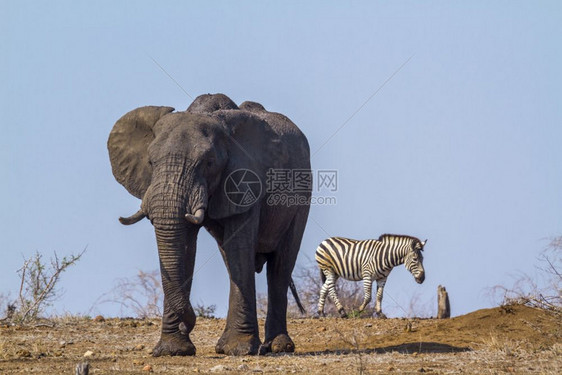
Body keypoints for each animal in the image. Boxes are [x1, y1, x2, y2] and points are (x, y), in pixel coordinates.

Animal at [106, 92, 310, 356]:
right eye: (150, 162)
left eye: (209, 162)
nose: (187, 323)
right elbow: (184, 246)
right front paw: (173, 351)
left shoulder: (246, 179)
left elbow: (238, 247)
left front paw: (240, 349)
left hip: (302, 198)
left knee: (280, 266)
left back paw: (277, 346)